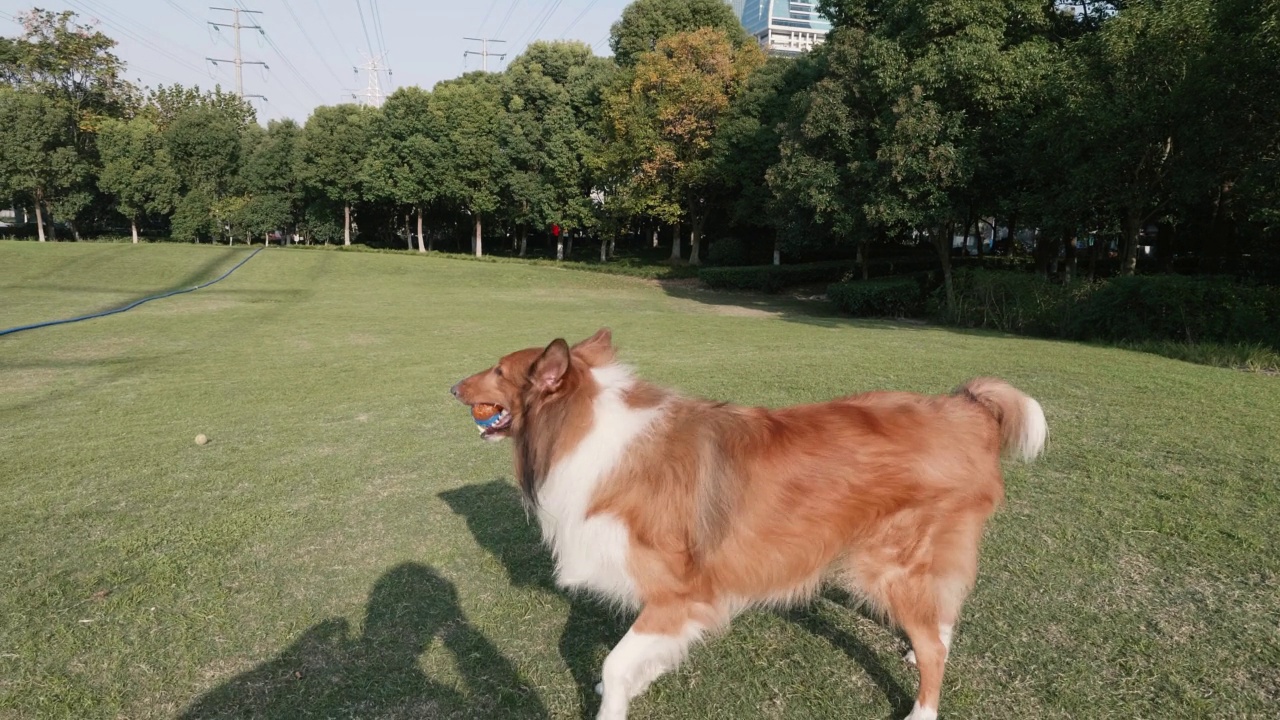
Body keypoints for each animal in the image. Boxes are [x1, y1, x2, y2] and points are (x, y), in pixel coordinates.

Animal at [453, 327, 1049, 712]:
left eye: (499, 370)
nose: (453, 387)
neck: (584, 432)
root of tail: (965, 410)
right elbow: (635, 661)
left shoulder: (680, 593)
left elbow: (615, 665)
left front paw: (616, 695)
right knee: (942, 617)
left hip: (892, 560)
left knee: (935, 648)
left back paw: (921, 706)